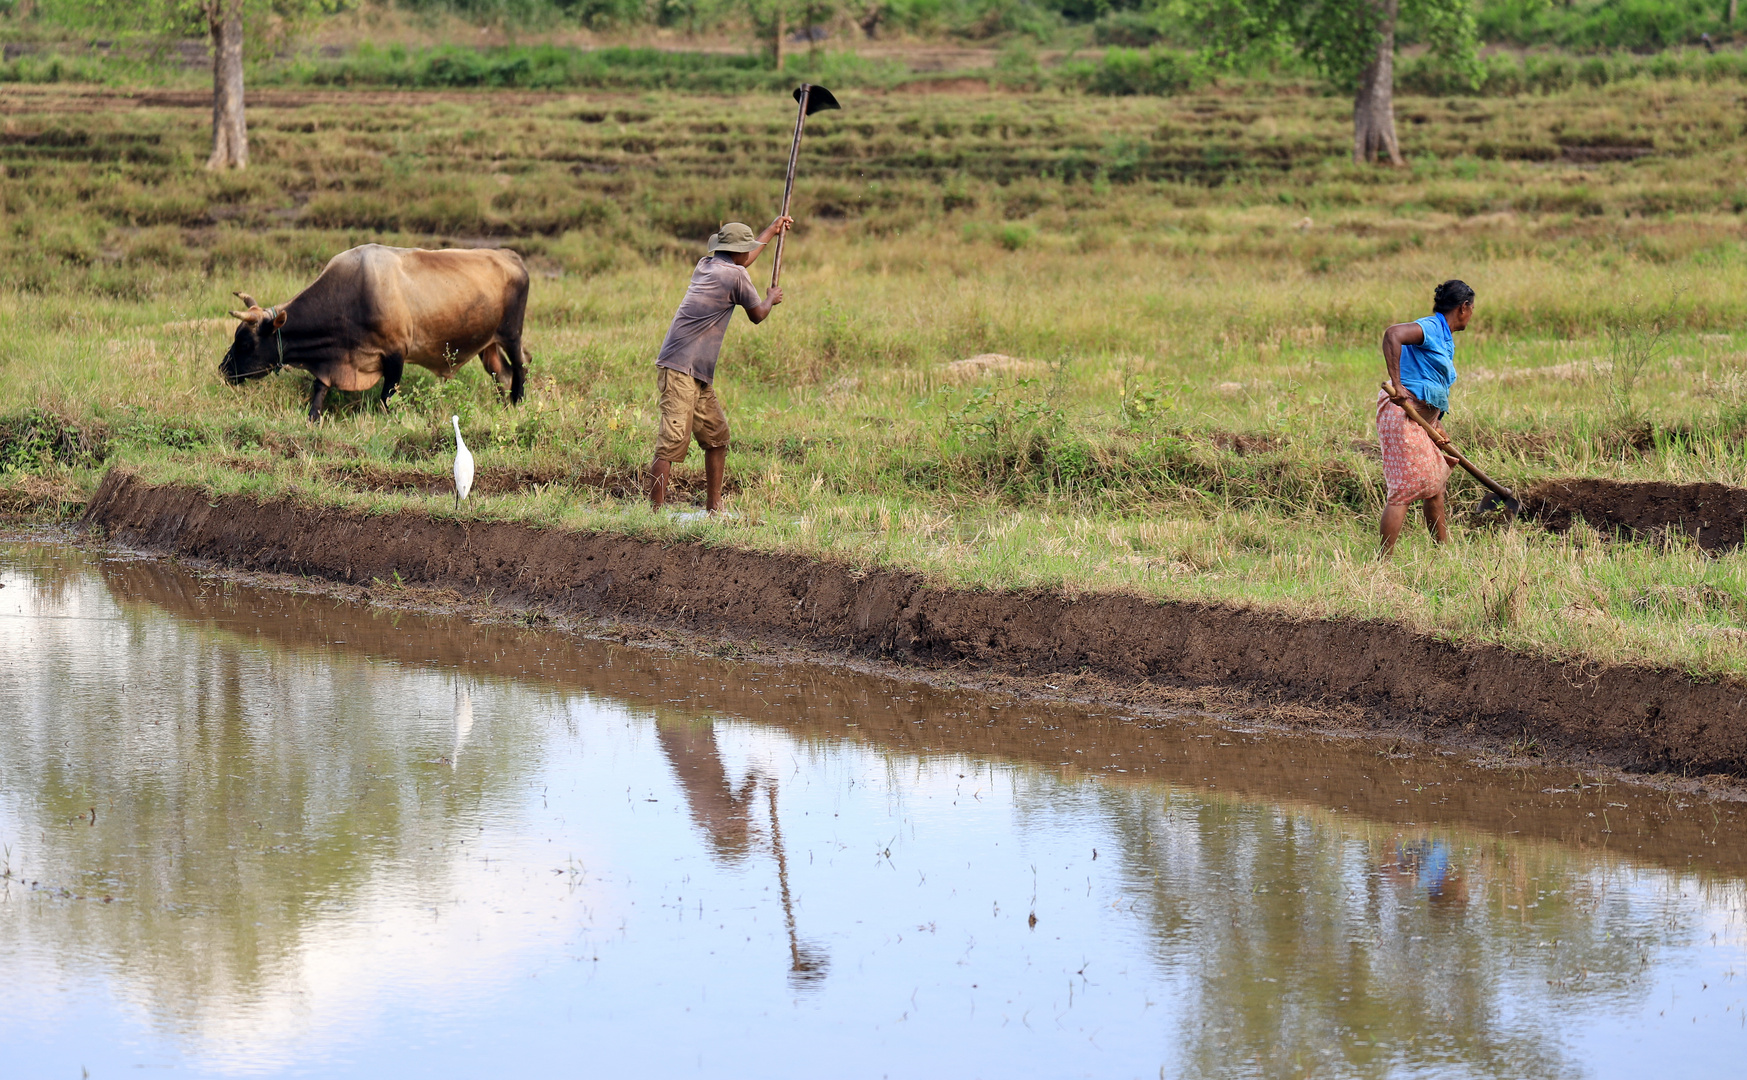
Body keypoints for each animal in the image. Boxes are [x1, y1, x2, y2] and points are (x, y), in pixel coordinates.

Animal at [215, 244, 524, 415]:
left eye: (245, 343)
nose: (223, 370)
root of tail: (510, 256)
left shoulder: (396, 353)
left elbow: (387, 397)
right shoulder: (331, 364)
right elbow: (319, 391)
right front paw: (313, 417)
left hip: (511, 335)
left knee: (519, 369)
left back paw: (517, 402)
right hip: (488, 345)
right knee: (502, 373)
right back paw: (503, 406)